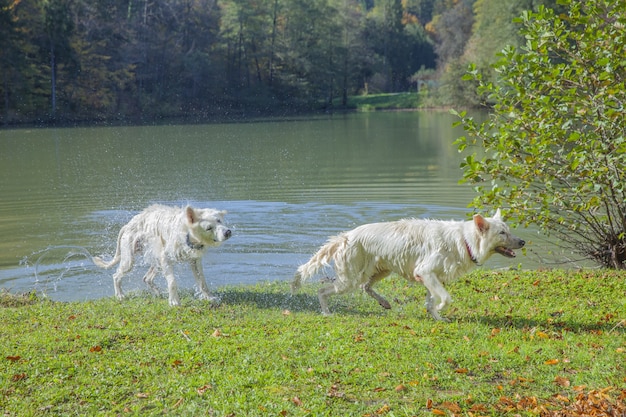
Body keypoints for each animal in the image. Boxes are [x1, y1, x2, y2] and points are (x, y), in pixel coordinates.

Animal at [91, 205, 230, 306]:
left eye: (219, 220)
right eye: (208, 228)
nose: (228, 232)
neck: (187, 233)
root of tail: (128, 225)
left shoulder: (194, 261)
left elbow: (202, 281)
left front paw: (210, 297)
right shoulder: (165, 258)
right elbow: (172, 281)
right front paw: (174, 301)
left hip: (156, 261)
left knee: (146, 278)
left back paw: (158, 293)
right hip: (129, 260)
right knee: (116, 275)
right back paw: (120, 295)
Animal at [292, 210, 520, 320]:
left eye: (508, 230)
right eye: (502, 233)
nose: (523, 242)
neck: (464, 240)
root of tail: (345, 236)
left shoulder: (431, 277)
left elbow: (431, 301)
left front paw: (437, 318)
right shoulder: (425, 272)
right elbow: (446, 298)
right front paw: (440, 309)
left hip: (380, 271)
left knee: (366, 287)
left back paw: (384, 303)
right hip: (349, 280)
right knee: (322, 290)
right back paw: (326, 313)